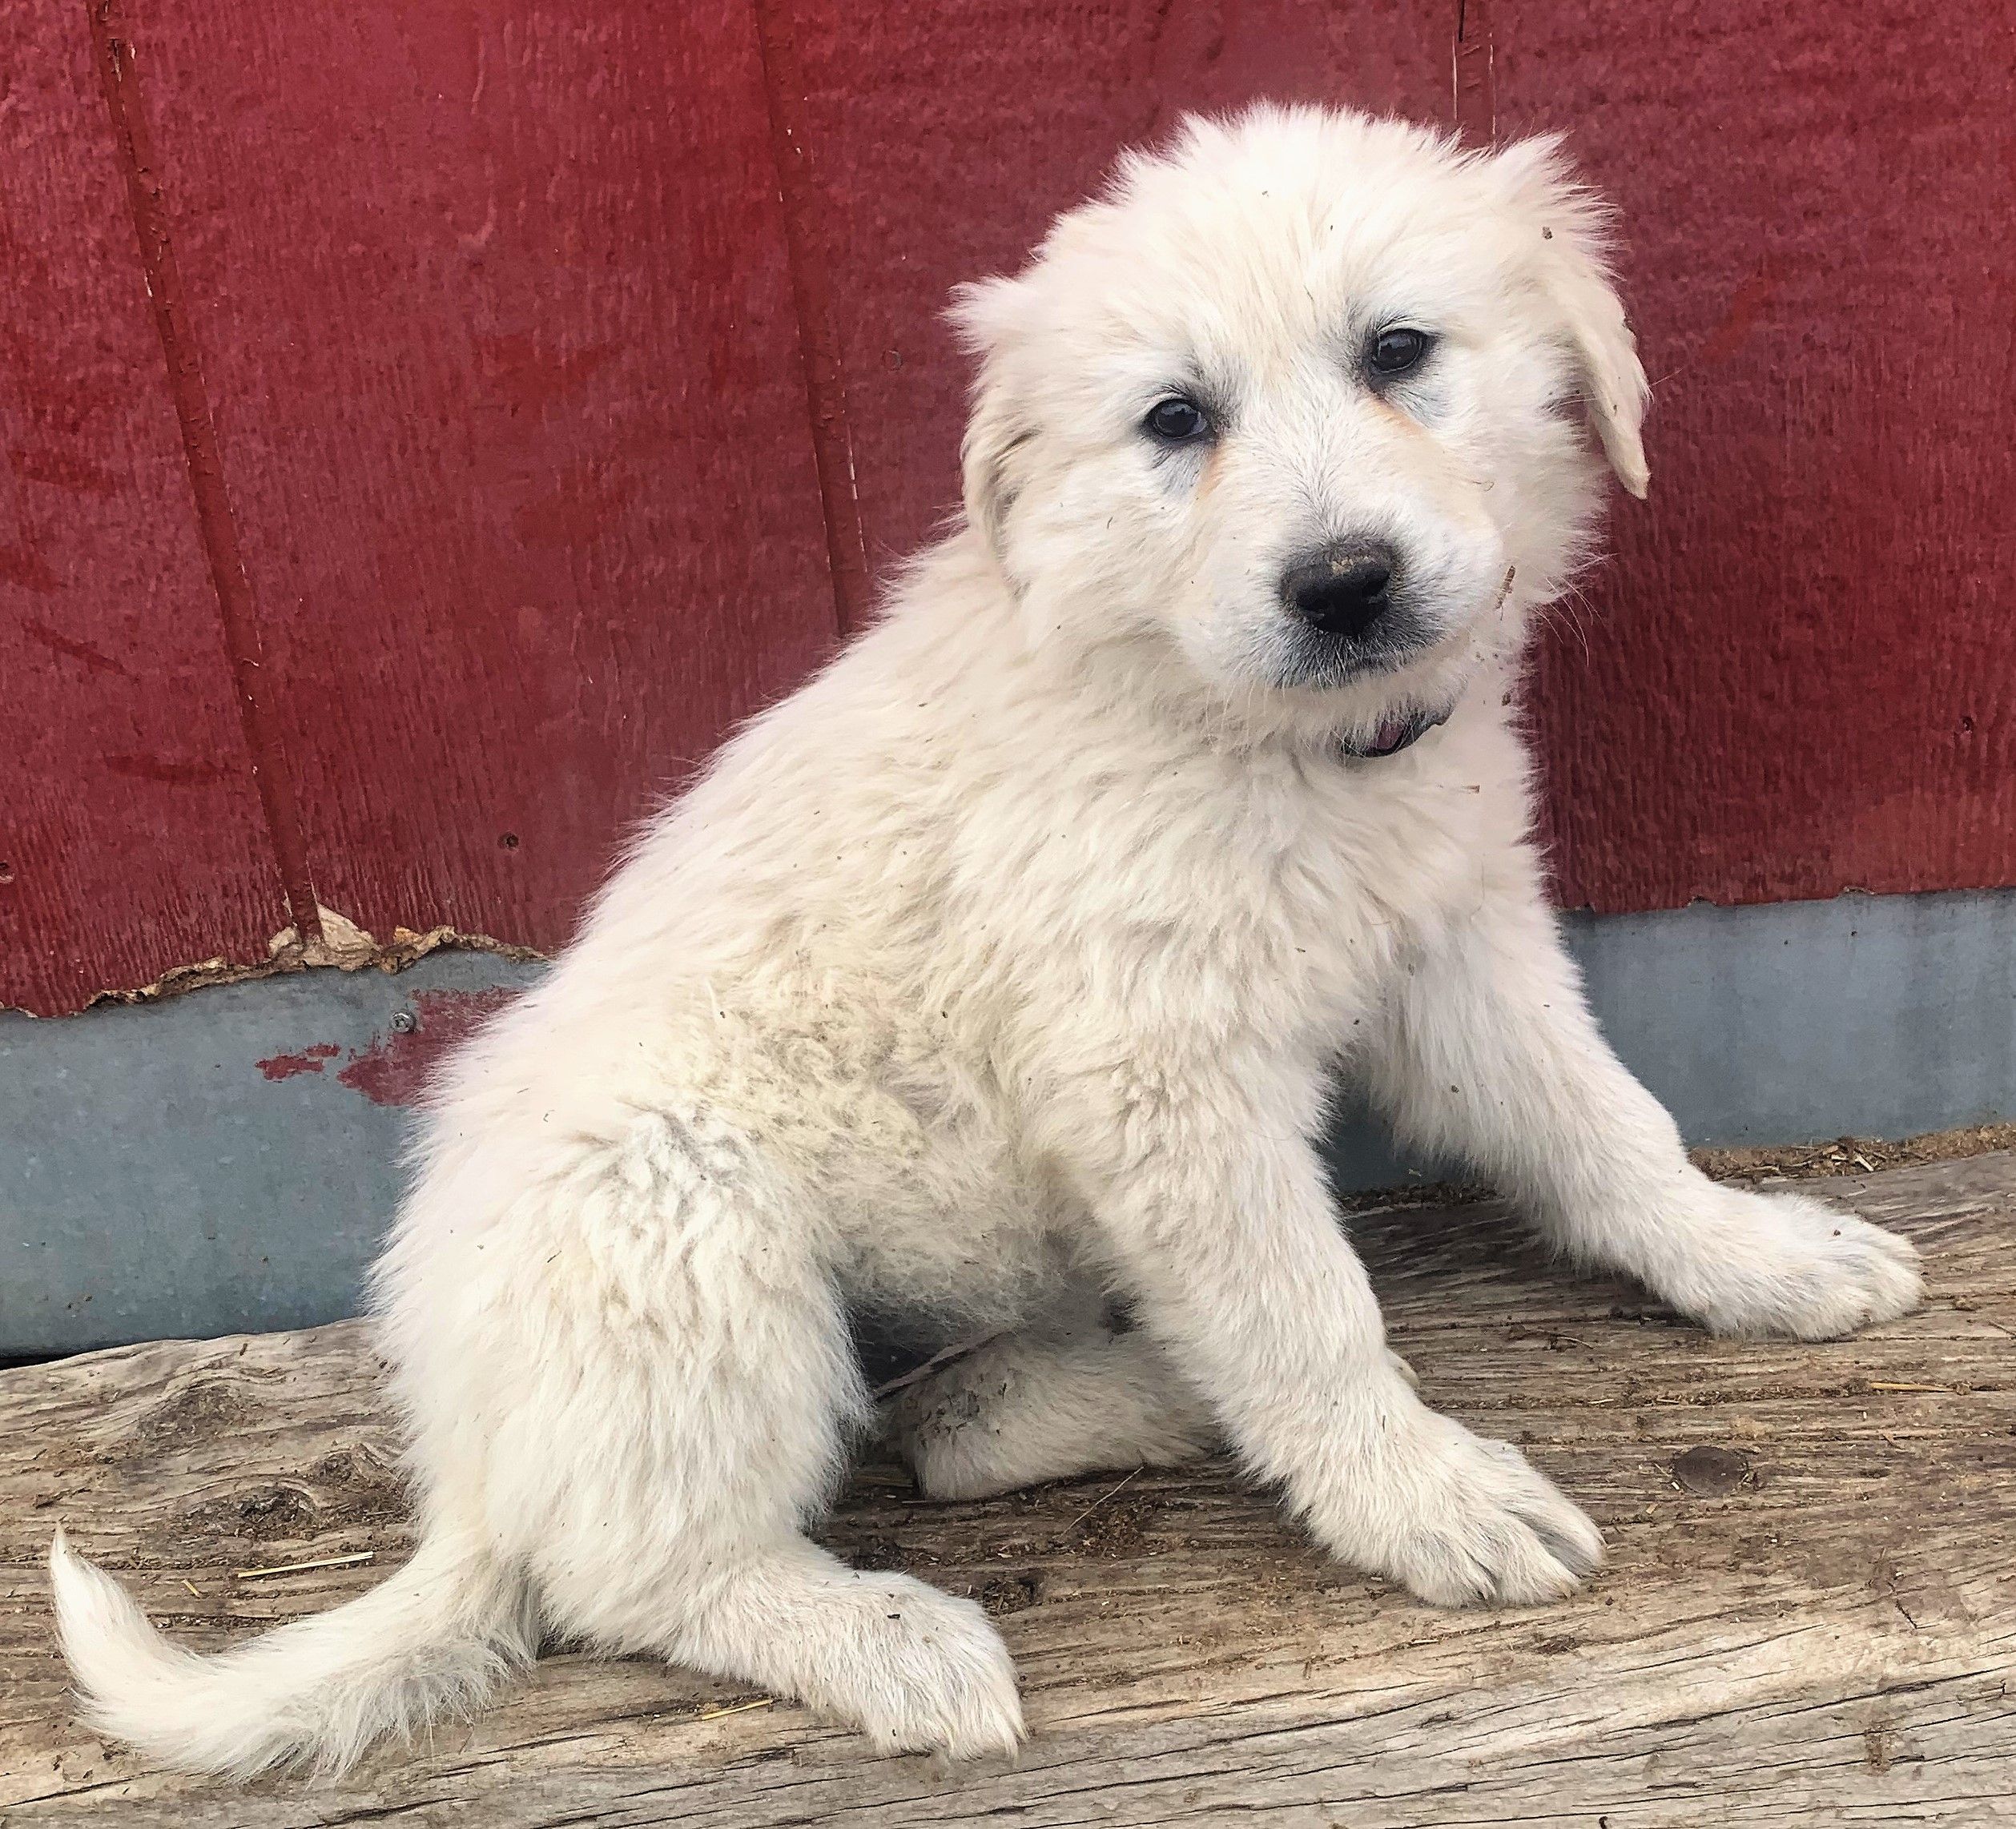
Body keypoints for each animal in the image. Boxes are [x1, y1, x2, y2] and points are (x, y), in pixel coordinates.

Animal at [51, 104, 1923, 1775]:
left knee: (936, 1425)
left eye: (1399, 351)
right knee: (634, 1569)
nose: (1342, 583)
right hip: (677, 1223)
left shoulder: (1455, 940)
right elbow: (1303, 1311)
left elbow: (1606, 1125)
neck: (1257, 732)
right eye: (1175, 419)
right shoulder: (1164, 1076)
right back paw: (890, 1636)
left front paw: (1752, 1255)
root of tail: (471, 1464)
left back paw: (1146, 1391)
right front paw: (1420, 1493)